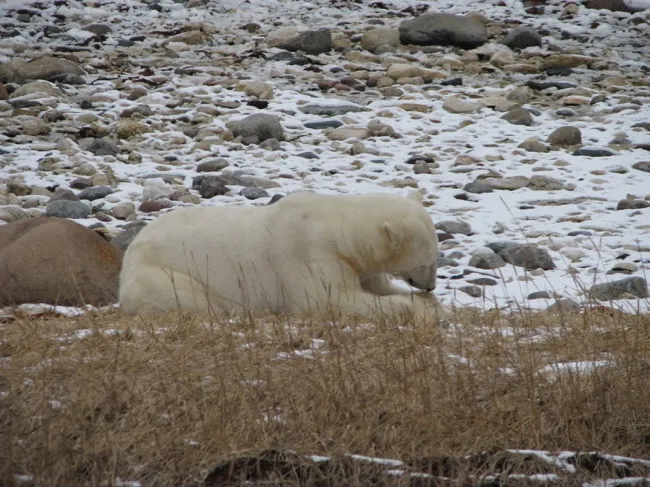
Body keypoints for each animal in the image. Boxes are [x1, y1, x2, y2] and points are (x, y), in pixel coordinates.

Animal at [117, 191, 446, 320]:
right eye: (427, 261)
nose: (430, 285)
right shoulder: (309, 250)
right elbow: (328, 298)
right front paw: (414, 307)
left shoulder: (359, 262)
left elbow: (376, 286)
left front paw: (430, 304)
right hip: (160, 272)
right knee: (190, 298)